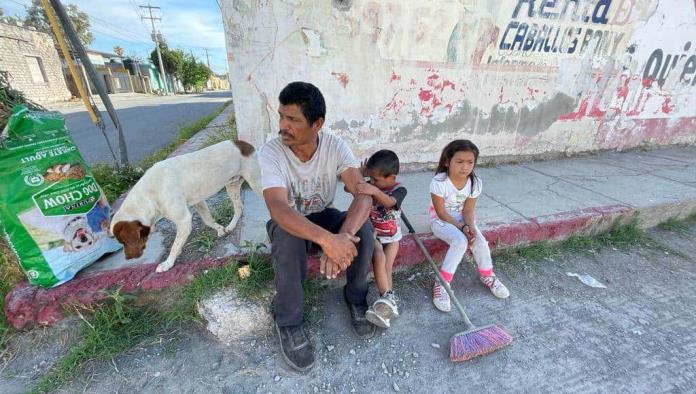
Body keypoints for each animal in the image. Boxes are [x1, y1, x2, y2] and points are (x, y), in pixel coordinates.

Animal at [110, 140, 262, 272]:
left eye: (124, 242)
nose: (127, 258)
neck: (149, 195)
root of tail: (242, 143)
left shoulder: (184, 219)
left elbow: (175, 245)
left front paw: (168, 263)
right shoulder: (199, 202)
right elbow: (208, 220)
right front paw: (220, 229)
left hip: (255, 182)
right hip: (231, 187)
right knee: (239, 208)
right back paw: (231, 226)